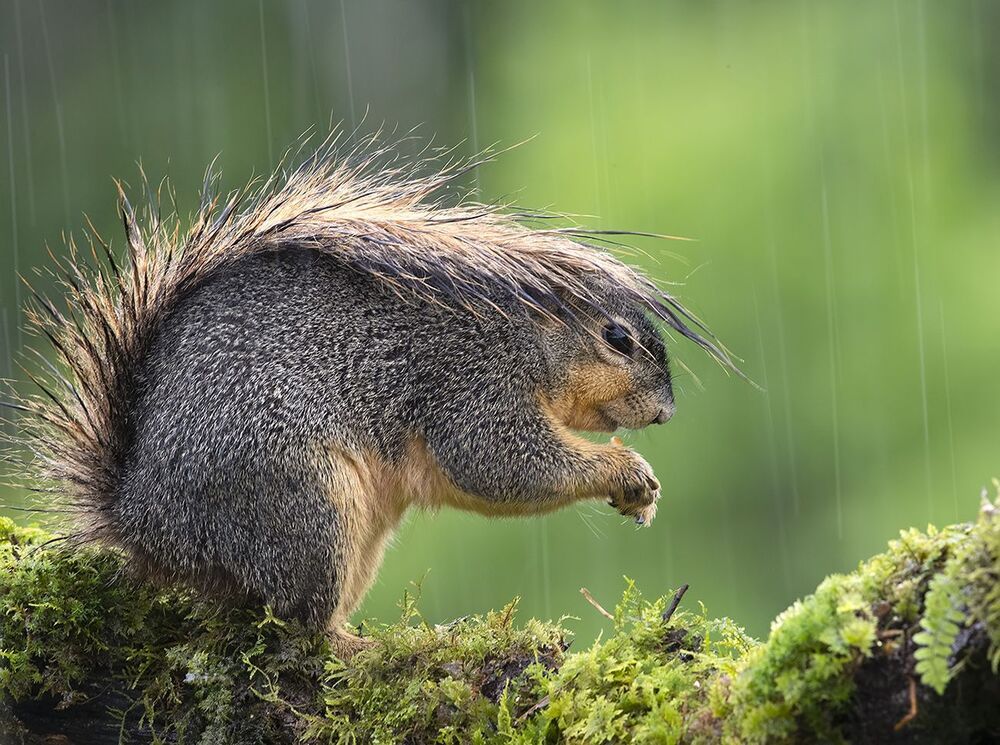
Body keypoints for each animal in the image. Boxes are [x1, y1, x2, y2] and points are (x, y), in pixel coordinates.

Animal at [8, 136, 737, 656]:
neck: (524, 340)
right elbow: (501, 463)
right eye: (617, 338)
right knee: (296, 621)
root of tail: (141, 520)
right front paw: (626, 470)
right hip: (301, 505)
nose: (666, 411)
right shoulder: (470, 389)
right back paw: (354, 645)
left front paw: (640, 494)